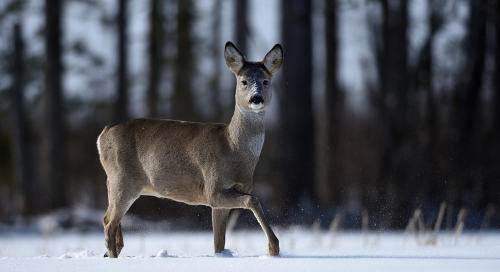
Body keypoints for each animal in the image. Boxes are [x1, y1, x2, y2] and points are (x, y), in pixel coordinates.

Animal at [97, 41, 282, 258]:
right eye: (244, 81)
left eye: (266, 81)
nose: (256, 98)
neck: (232, 148)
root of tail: (104, 134)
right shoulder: (213, 187)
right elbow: (253, 201)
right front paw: (273, 247)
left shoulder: (223, 199)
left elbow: (219, 243)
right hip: (123, 181)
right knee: (109, 223)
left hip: (114, 182)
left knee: (108, 219)